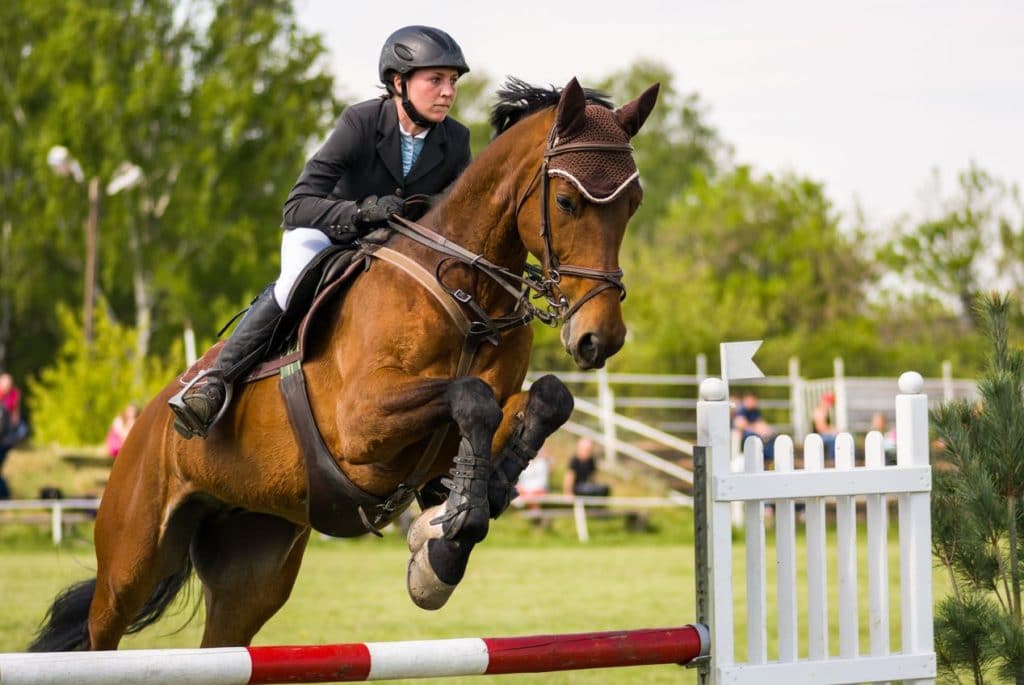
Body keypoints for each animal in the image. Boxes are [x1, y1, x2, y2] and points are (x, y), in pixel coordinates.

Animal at [29, 76, 659, 651]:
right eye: (567, 202)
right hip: (131, 560)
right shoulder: (361, 425)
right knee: (101, 630)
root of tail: (148, 417)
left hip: (252, 565)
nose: (599, 338)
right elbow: (471, 398)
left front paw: (459, 522)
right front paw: (451, 534)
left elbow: (545, 399)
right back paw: (202, 398)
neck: (465, 291)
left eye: (633, 205)